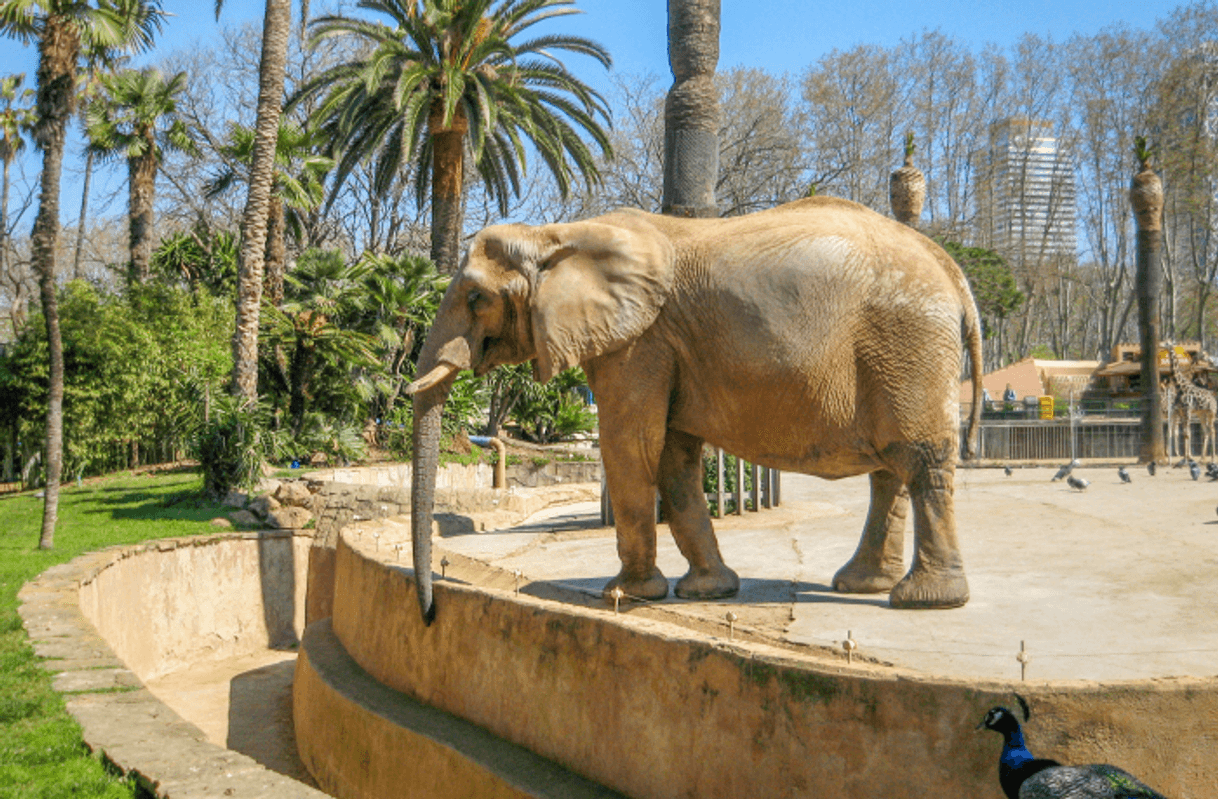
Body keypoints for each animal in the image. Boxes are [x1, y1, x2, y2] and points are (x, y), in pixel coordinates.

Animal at [404, 196, 984, 621]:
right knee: (891, 469)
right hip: (900, 355)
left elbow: (630, 444)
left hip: (907, 343)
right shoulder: (663, 347)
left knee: (920, 460)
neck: (555, 233)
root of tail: (951, 270)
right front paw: (708, 593)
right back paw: (863, 585)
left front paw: (623, 595)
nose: (430, 612)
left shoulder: (640, 343)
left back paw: (927, 601)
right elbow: (672, 459)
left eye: (476, 298)